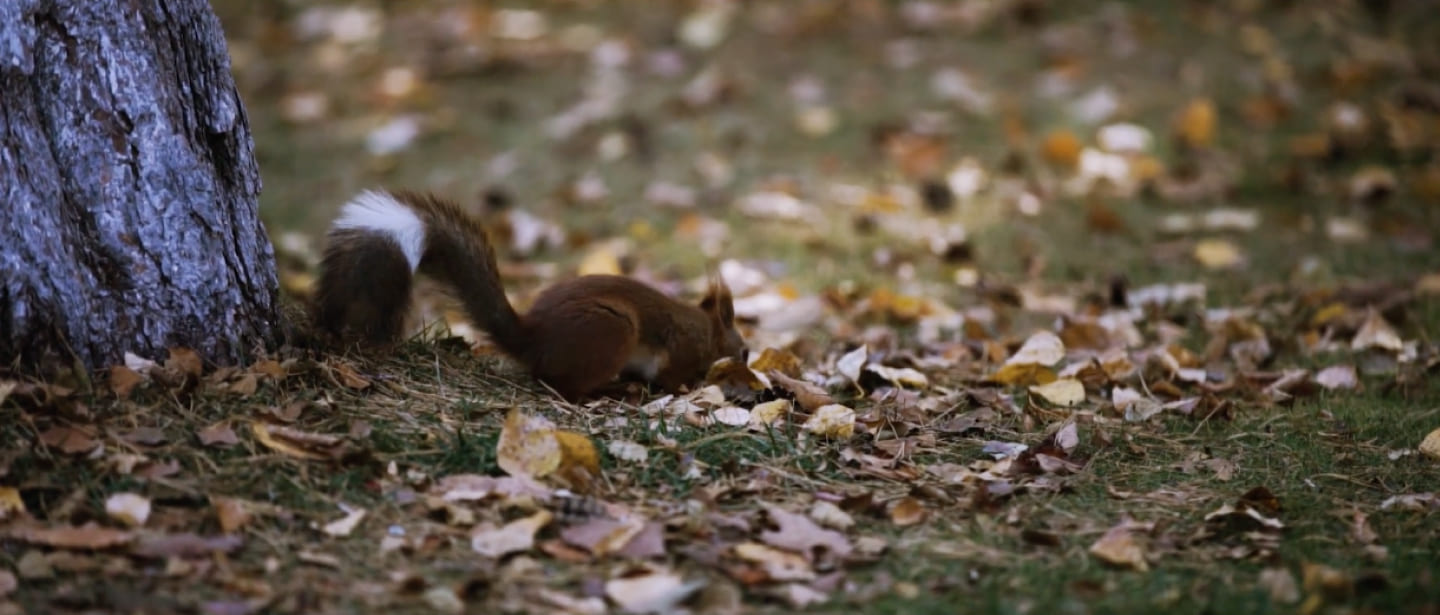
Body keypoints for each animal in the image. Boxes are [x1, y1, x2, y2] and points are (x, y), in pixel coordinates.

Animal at [311, 191, 748, 403]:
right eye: (742, 345)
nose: (746, 357)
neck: (704, 327)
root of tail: (534, 341)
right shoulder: (680, 349)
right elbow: (671, 377)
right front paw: (689, 388)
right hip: (611, 331)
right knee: (564, 386)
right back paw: (608, 392)